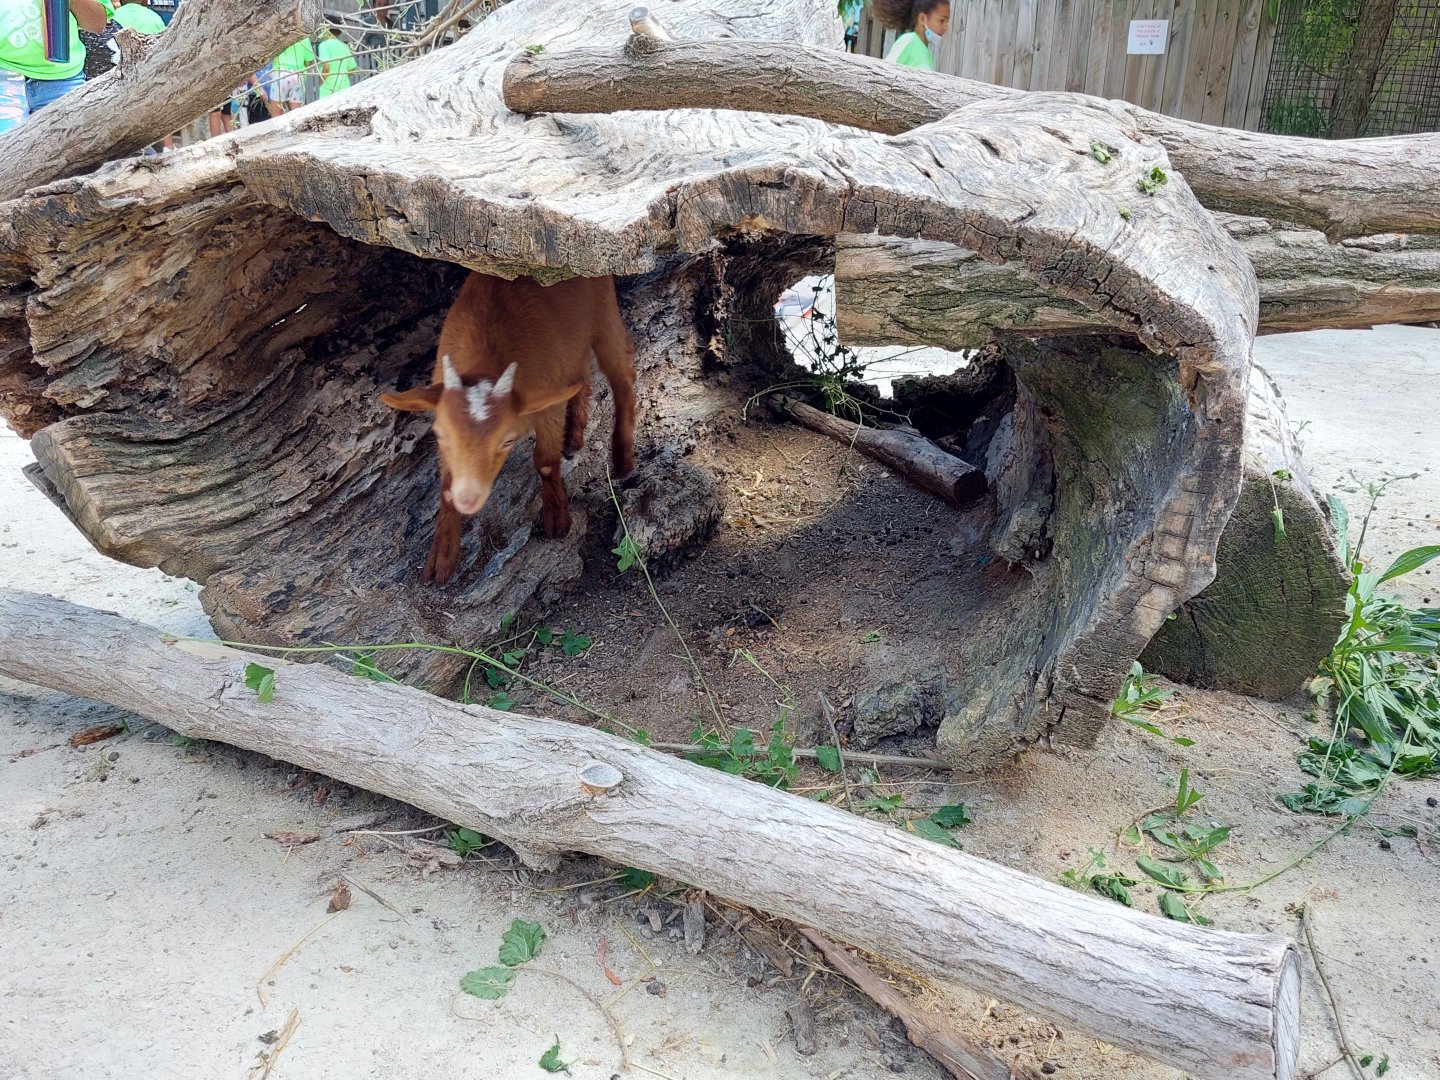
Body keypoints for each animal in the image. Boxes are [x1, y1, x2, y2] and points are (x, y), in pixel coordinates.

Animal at [380, 272, 637, 586]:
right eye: (440, 435)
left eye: (507, 441)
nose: (468, 499)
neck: (485, 359)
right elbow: (446, 484)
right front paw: (443, 555)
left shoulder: (545, 403)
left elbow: (546, 463)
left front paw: (557, 519)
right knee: (581, 371)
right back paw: (574, 433)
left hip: (603, 310)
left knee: (622, 373)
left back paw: (622, 459)